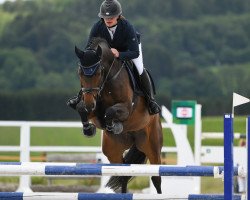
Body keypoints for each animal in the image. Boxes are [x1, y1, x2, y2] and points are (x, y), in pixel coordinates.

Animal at [73, 37, 164, 194]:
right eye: (80, 73)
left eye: (98, 73)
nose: (90, 103)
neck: (108, 79)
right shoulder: (94, 109)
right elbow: (81, 108)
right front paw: (88, 129)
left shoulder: (127, 108)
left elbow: (110, 112)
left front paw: (113, 126)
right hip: (113, 151)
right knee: (123, 175)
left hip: (152, 146)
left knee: (156, 177)